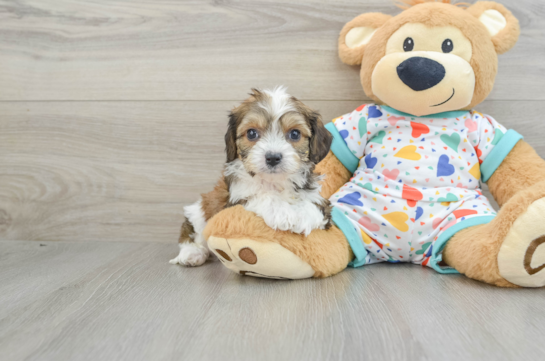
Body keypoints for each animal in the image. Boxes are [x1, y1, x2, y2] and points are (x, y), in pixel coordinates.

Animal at [169, 87, 332, 266]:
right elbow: (260, 197)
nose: (273, 157)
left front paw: (302, 215)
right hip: (199, 211)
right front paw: (282, 213)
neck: (274, 182)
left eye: (295, 134)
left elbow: (315, 206)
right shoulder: (234, 201)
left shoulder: (318, 198)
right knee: (190, 229)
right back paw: (192, 253)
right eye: (252, 133)